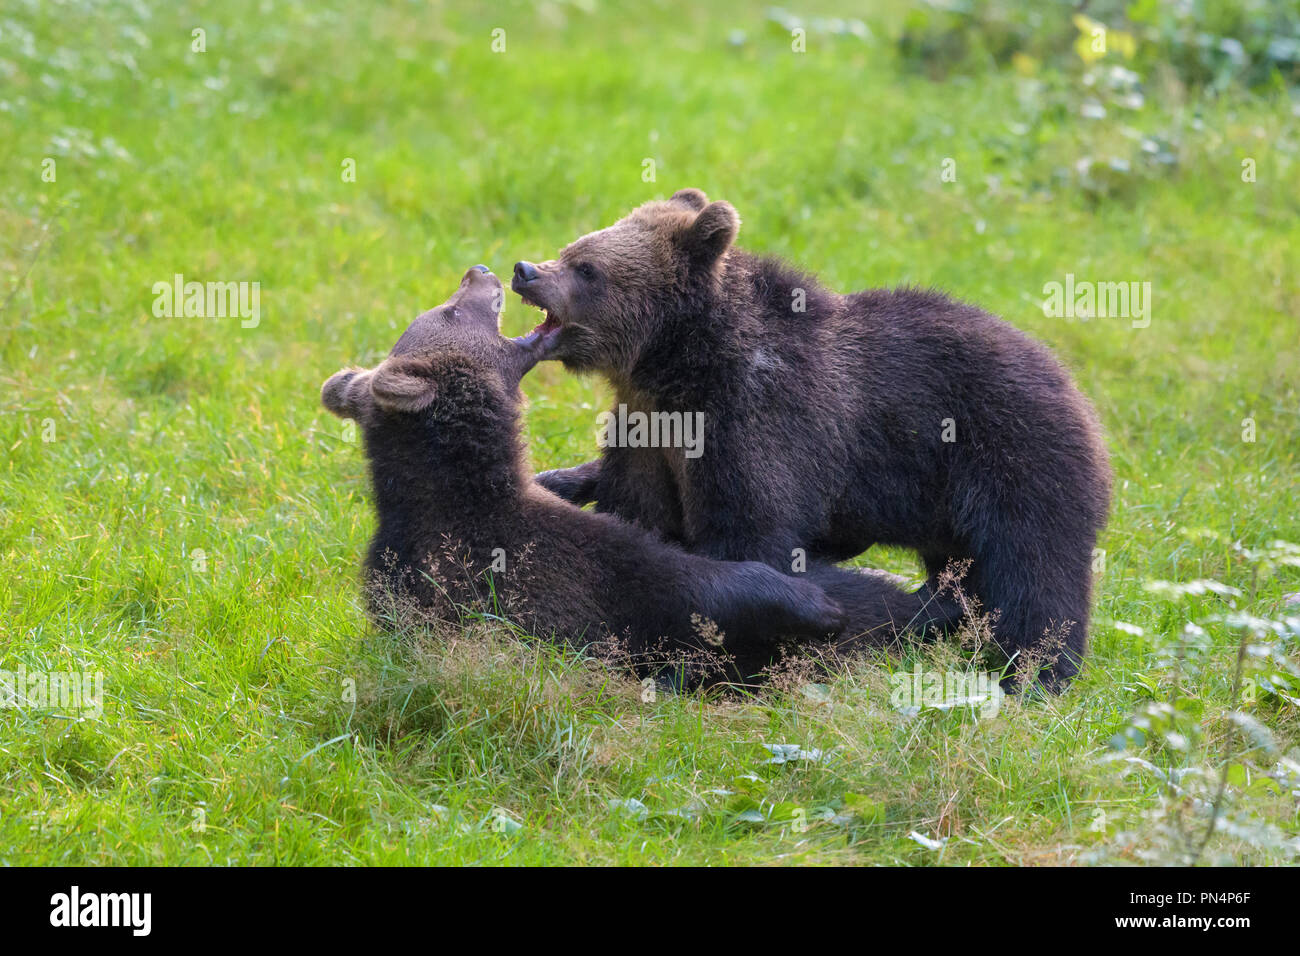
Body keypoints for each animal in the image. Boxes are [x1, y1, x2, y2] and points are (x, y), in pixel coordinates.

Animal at [511, 189, 1113, 691]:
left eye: (587, 268)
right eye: (572, 248)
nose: (524, 270)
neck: (678, 369)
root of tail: (1075, 388)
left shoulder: (757, 428)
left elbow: (751, 536)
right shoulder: (647, 435)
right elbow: (637, 522)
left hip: (1013, 456)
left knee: (1035, 574)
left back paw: (1035, 676)